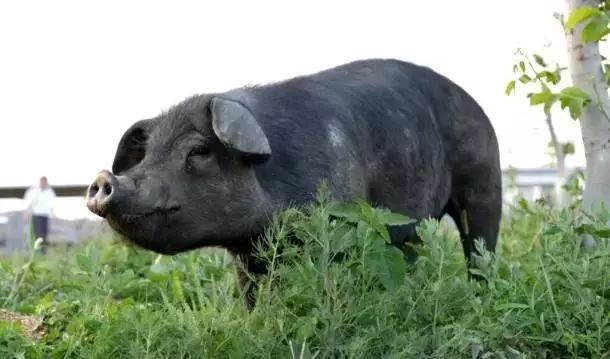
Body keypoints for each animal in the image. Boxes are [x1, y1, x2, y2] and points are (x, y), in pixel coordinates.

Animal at [88, 59, 502, 310]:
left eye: (199, 150)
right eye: (147, 155)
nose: (103, 180)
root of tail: (473, 101)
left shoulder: (336, 225)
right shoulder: (245, 254)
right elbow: (250, 294)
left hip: (483, 180)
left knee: (480, 246)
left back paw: (480, 297)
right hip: (409, 225)